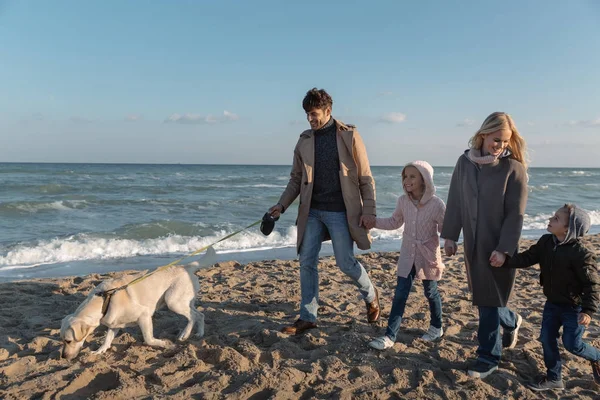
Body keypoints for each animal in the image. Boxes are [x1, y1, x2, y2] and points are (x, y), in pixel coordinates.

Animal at [58, 247, 217, 360]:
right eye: (62, 340)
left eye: (68, 341)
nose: (63, 357)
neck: (104, 301)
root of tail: (186, 266)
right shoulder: (114, 324)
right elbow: (107, 339)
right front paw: (100, 350)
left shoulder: (144, 315)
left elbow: (148, 339)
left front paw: (164, 343)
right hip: (184, 301)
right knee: (199, 314)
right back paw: (199, 333)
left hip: (172, 301)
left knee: (192, 316)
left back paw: (185, 334)